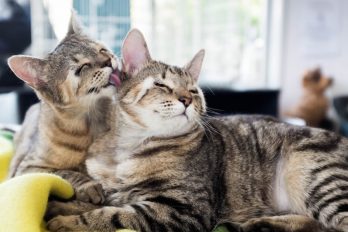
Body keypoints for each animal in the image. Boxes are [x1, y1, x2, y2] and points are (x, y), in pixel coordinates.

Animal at [7, 13, 120, 204]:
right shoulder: (27, 169)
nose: (108, 60)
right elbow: (63, 173)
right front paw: (88, 185)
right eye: (82, 67)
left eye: (102, 50)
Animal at [47, 30, 346, 232]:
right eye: (162, 85)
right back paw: (258, 224)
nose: (186, 100)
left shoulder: (181, 207)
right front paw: (59, 205)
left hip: (316, 177)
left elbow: (111, 215)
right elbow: (94, 203)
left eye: (193, 90)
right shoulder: (112, 191)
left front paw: (66, 221)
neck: (126, 149)